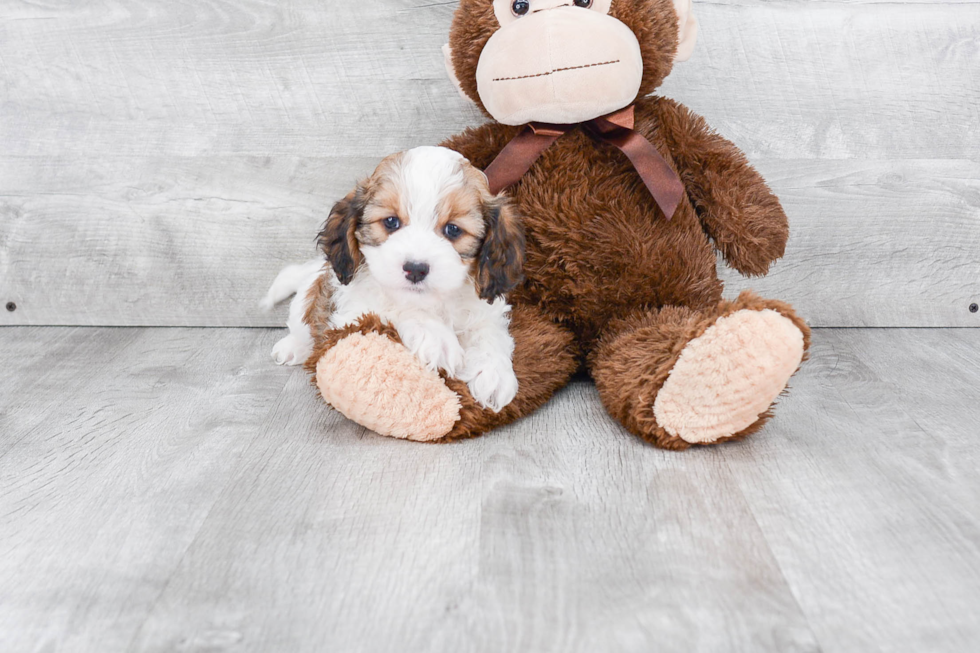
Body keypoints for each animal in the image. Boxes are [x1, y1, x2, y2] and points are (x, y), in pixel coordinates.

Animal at [256, 148, 524, 412]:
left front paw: (493, 374)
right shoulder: (352, 313)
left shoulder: (484, 308)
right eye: (391, 222)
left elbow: (489, 333)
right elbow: (394, 307)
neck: (434, 303)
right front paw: (437, 338)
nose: (415, 269)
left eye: (453, 230)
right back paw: (292, 348)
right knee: (302, 325)